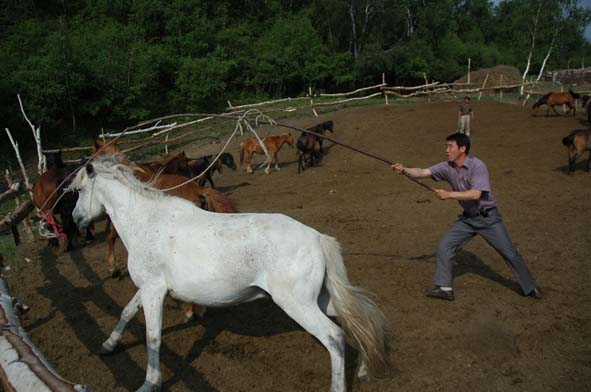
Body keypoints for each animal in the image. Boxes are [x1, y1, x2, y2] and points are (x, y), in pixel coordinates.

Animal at [69, 156, 390, 392]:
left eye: (80, 190)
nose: (76, 219)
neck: (147, 223)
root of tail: (317, 237)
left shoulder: (153, 291)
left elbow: (153, 337)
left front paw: (149, 384)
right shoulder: (148, 288)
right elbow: (126, 312)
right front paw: (108, 345)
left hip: (296, 304)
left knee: (334, 336)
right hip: (320, 300)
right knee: (356, 319)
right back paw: (364, 369)